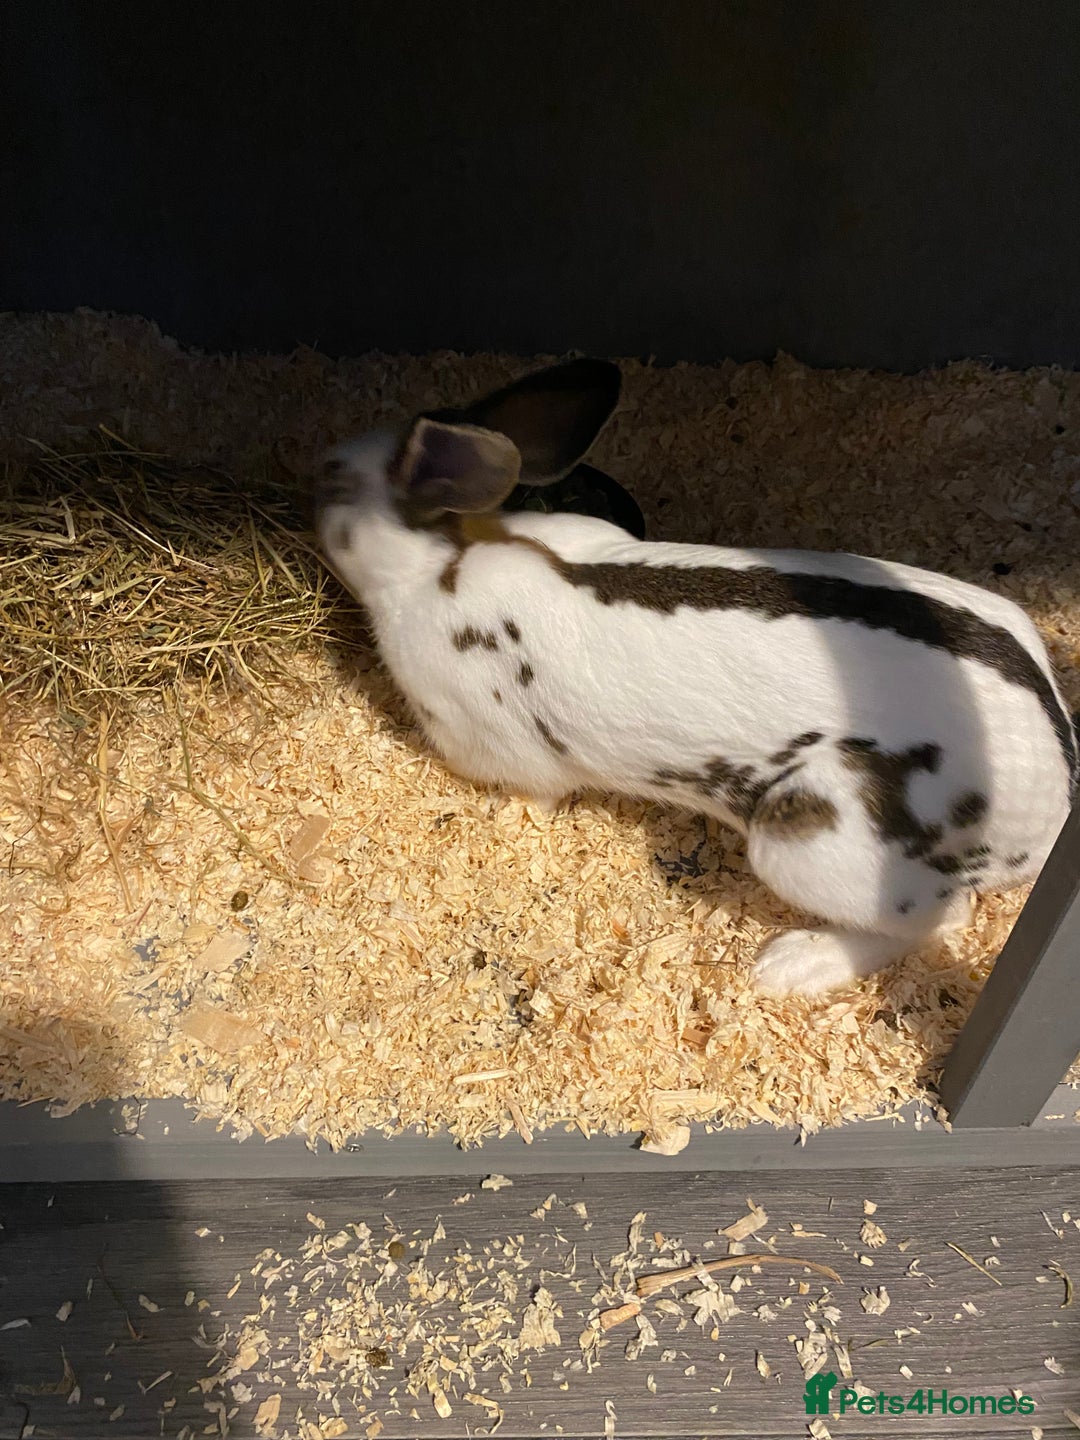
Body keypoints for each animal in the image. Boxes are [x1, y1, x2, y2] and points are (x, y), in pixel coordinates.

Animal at [313, 357, 1077, 998]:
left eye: (333, 482)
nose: (311, 469)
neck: (440, 560)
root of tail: (1055, 796)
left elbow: (533, 796)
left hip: (810, 841)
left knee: (940, 921)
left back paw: (788, 966)